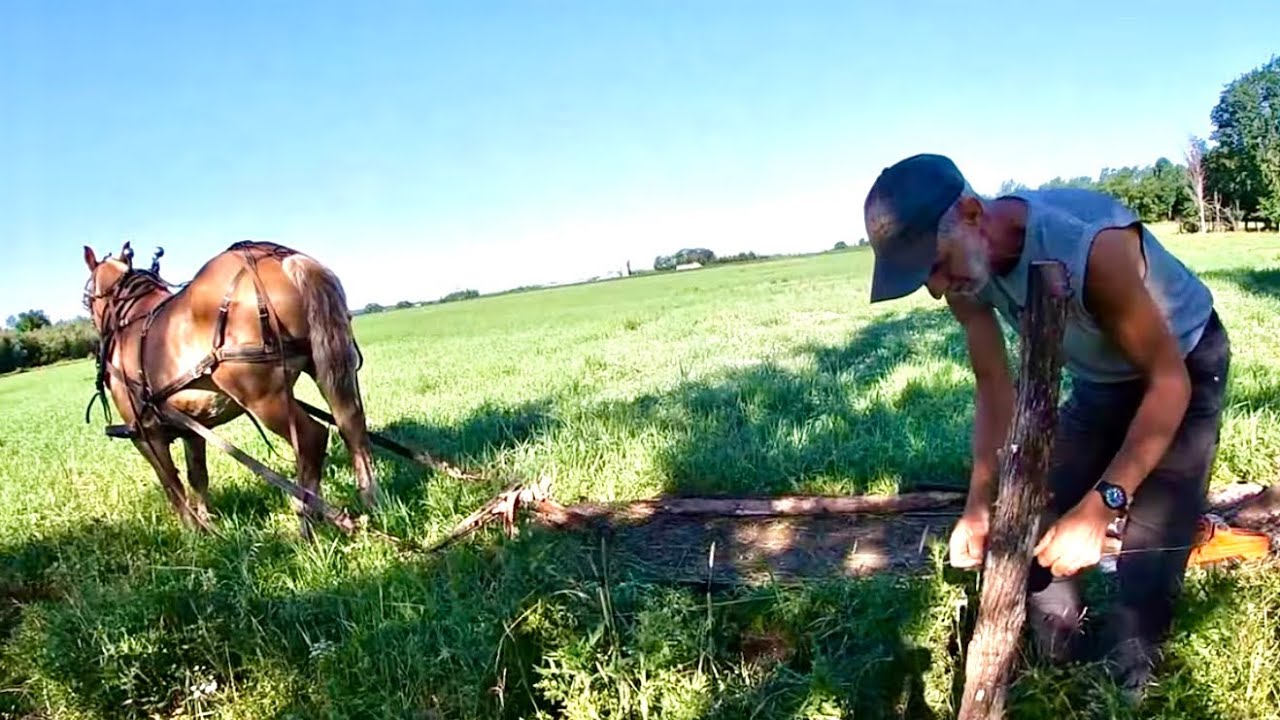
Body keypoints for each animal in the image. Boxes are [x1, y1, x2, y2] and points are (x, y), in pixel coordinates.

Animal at [81, 239, 380, 538]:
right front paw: (208, 524)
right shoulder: (191, 428)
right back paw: (370, 501)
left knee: (312, 438)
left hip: (263, 397)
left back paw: (307, 521)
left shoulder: (145, 434)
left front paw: (192, 531)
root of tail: (285, 259)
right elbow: (197, 476)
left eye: (86, 298)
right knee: (351, 424)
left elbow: (172, 485)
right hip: (324, 366)